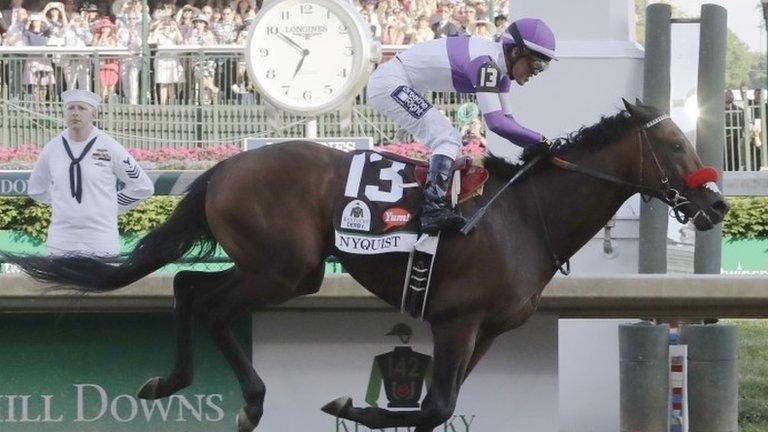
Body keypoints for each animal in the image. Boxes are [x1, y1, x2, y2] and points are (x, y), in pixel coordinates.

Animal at [4, 98, 728, 432]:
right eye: (672, 143)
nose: (717, 203)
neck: (524, 217)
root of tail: (228, 166)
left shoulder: (487, 331)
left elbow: (440, 407)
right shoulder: (457, 319)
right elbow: (434, 406)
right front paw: (347, 403)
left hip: (279, 267)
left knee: (185, 284)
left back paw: (172, 381)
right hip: (284, 268)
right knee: (208, 303)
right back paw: (247, 401)